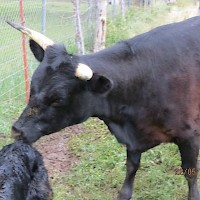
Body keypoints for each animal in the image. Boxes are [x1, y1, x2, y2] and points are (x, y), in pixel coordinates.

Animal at [11, 16, 199, 198]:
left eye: (58, 99)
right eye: (32, 88)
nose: (17, 130)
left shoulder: (189, 136)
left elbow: (190, 173)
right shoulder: (133, 140)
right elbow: (131, 167)